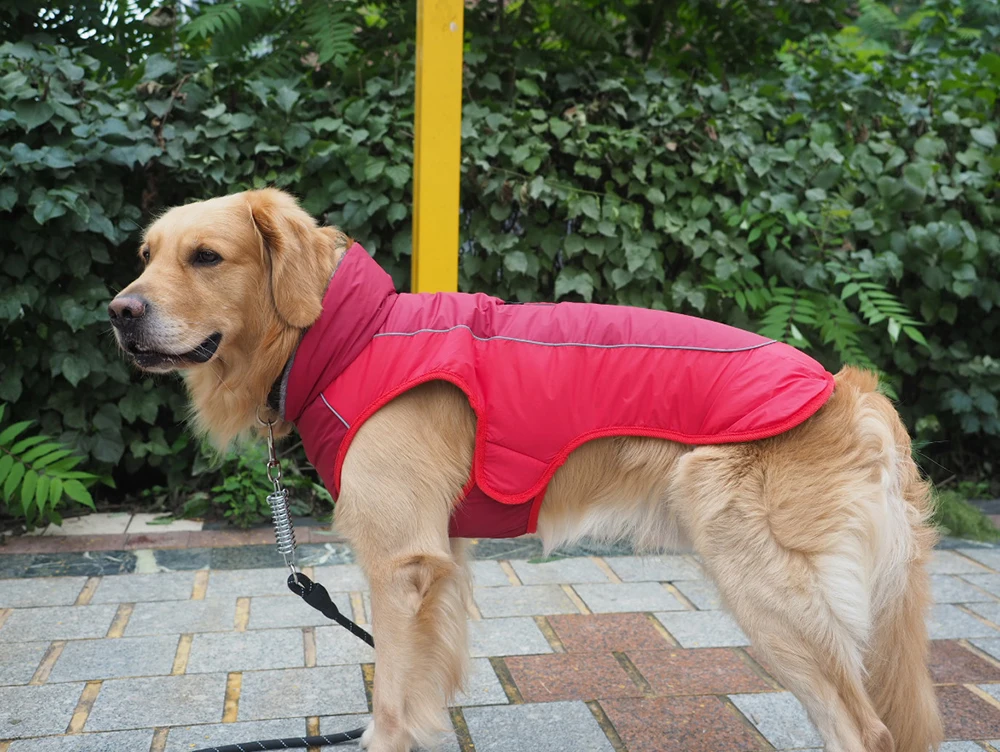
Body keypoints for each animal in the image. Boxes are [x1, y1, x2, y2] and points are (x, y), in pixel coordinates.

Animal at [113, 189, 940, 752]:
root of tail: (850, 389)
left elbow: (391, 699)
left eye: (206, 257)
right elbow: (429, 680)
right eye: (146, 257)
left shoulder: (399, 564)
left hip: (769, 592)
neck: (347, 336)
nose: (118, 313)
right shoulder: (444, 557)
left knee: (864, 730)